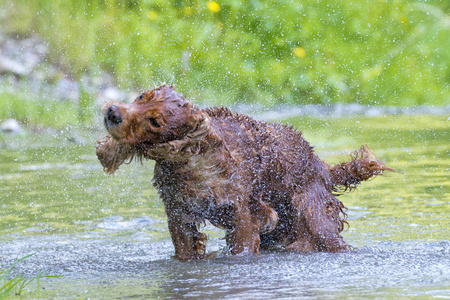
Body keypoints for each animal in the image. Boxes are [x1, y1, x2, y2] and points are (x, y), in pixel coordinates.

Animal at [96, 84, 392, 260]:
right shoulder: (178, 214)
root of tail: (321, 166)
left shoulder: (243, 216)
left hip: (313, 216)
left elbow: (243, 245)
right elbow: (185, 249)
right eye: (141, 97)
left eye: (155, 122)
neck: (190, 163)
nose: (112, 112)